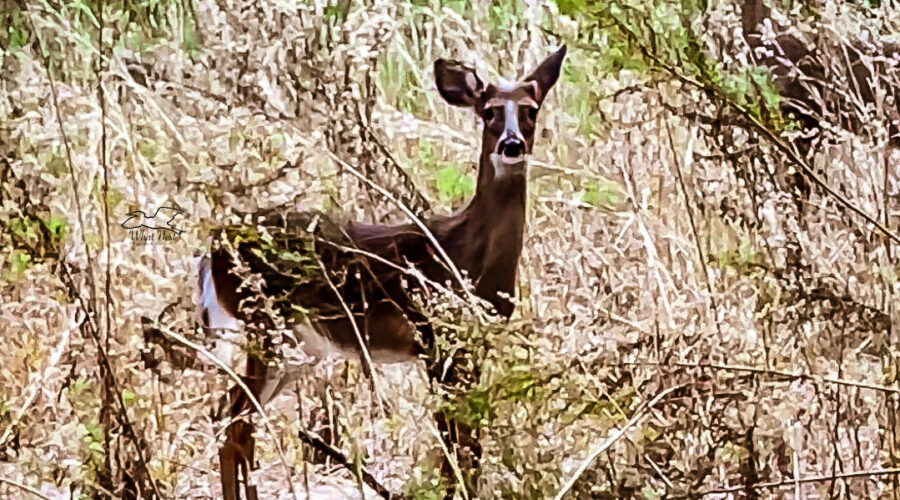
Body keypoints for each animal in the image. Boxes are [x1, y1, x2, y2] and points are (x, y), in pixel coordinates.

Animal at [198, 45, 566, 499]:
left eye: (530, 110)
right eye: (489, 112)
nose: (512, 145)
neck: (467, 255)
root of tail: (214, 249)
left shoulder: (472, 345)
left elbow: (466, 443)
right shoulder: (434, 335)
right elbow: (454, 443)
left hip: (297, 345)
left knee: (233, 417)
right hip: (264, 323)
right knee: (233, 419)